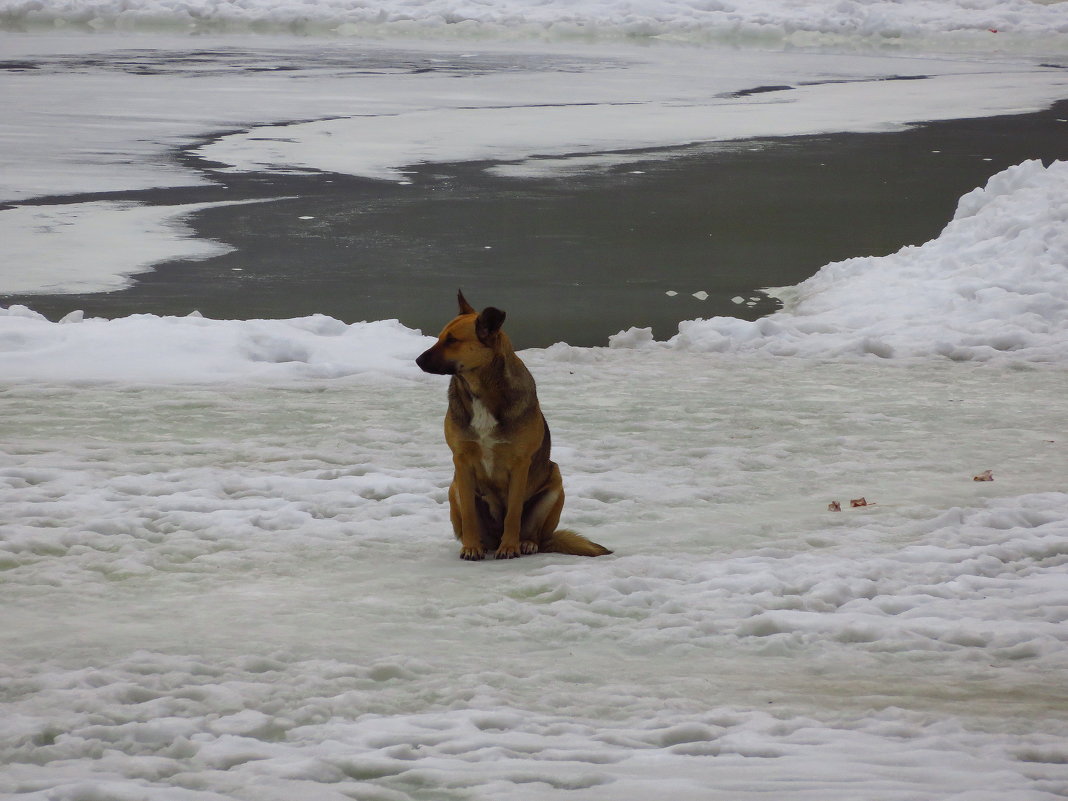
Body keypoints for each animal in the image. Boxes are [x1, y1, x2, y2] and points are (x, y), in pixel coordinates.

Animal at [416, 292, 615, 559]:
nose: (417, 360)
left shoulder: (520, 464)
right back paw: (481, 544)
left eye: (452, 340)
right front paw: (471, 547)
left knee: (534, 533)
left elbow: (513, 513)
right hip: (453, 487)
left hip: (555, 483)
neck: (480, 392)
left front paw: (509, 547)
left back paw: (525, 543)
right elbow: (469, 513)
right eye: (440, 337)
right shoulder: (461, 461)